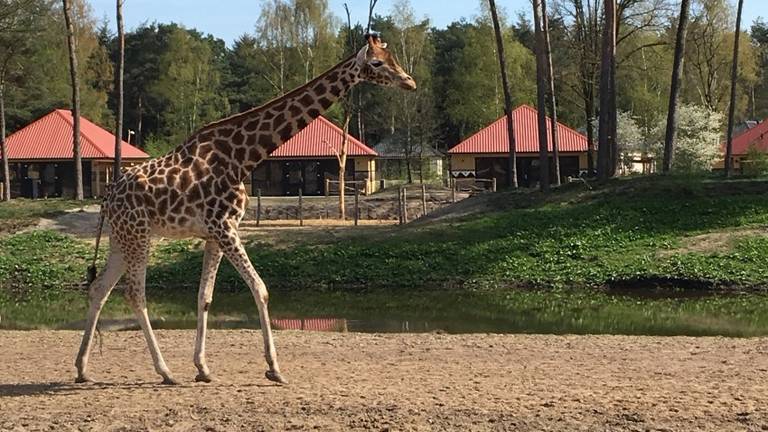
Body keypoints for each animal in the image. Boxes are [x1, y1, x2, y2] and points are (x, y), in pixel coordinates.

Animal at [75, 34, 416, 384]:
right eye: (376, 62)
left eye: (393, 57)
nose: (410, 82)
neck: (243, 157)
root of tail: (107, 197)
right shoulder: (225, 227)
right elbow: (260, 288)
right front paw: (274, 368)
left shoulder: (214, 234)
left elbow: (205, 297)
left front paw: (203, 368)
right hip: (139, 235)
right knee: (135, 294)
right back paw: (165, 371)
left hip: (122, 238)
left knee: (100, 288)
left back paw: (83, 369)